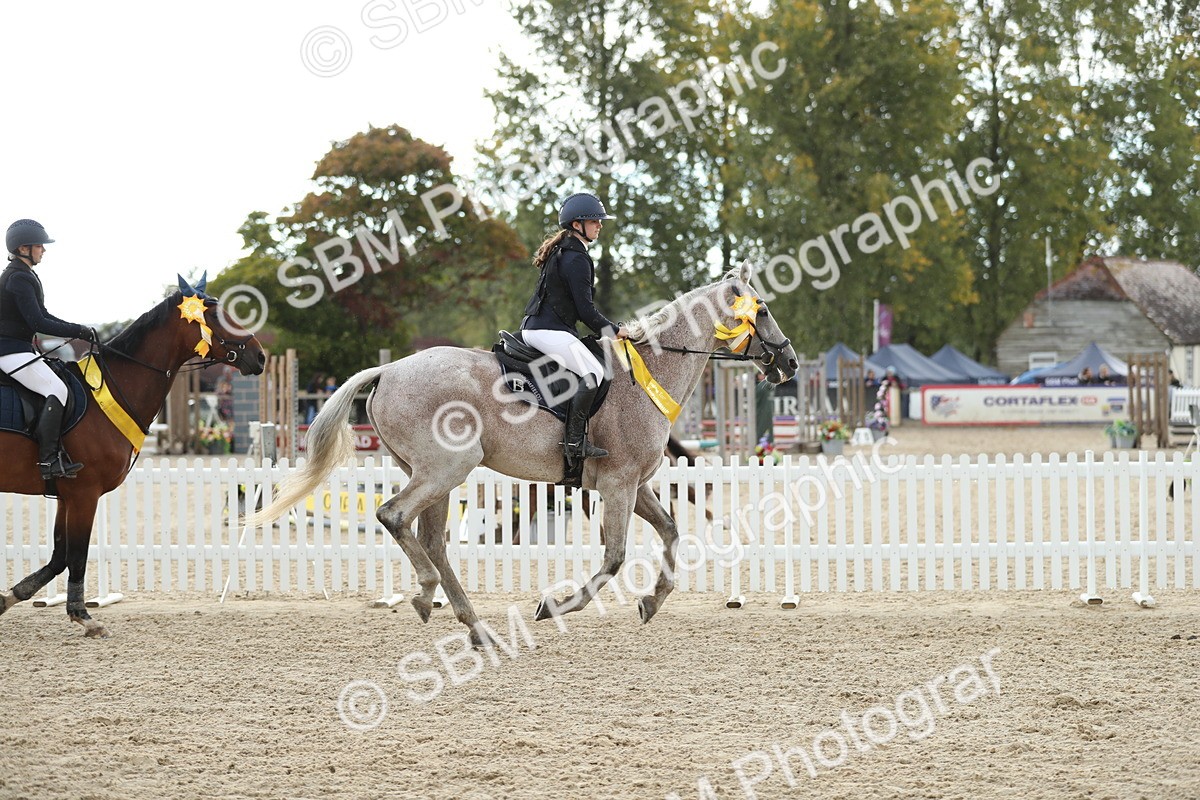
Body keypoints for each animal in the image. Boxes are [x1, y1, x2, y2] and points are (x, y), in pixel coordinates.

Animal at [0, 276, 266, 637]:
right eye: (215, 316)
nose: (260, 356)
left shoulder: (66, 495)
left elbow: (59, 558)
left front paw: (8, 598)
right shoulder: (84, 494)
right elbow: (76, 555)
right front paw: (83, 615)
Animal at [248, 261, 797, 646]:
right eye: (764, 310)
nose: (790, 362)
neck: (648, 374)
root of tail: (389, 370)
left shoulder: (634, 486)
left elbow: (671, 532)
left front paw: (652, 602)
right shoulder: (618, 485)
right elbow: (615, 558)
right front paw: (555, 607)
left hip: (435, 476)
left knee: (431, 540)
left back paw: (471, 625)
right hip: (447, 468)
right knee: (394, 516)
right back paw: (427, 593)